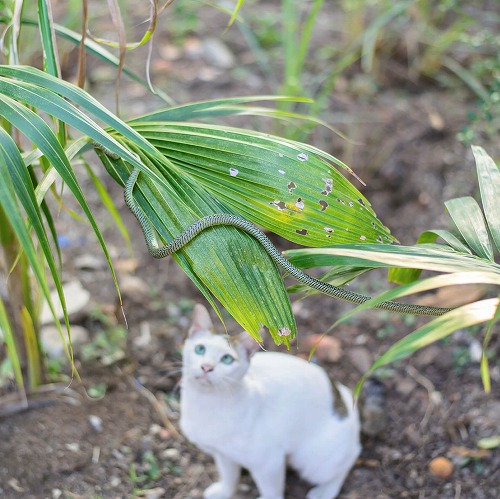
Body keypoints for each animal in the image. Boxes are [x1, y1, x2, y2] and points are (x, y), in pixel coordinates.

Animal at [180, 304, 360, 499]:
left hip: (312, 460)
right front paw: (225, 492)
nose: (206, 367)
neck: (206, 402)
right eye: (200, 349)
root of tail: (343, 396)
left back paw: (325, 491)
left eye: (227, 359)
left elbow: (271, 491)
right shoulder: (223, 454)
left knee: (348, 461)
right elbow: (229, 476)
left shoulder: (269, 462)